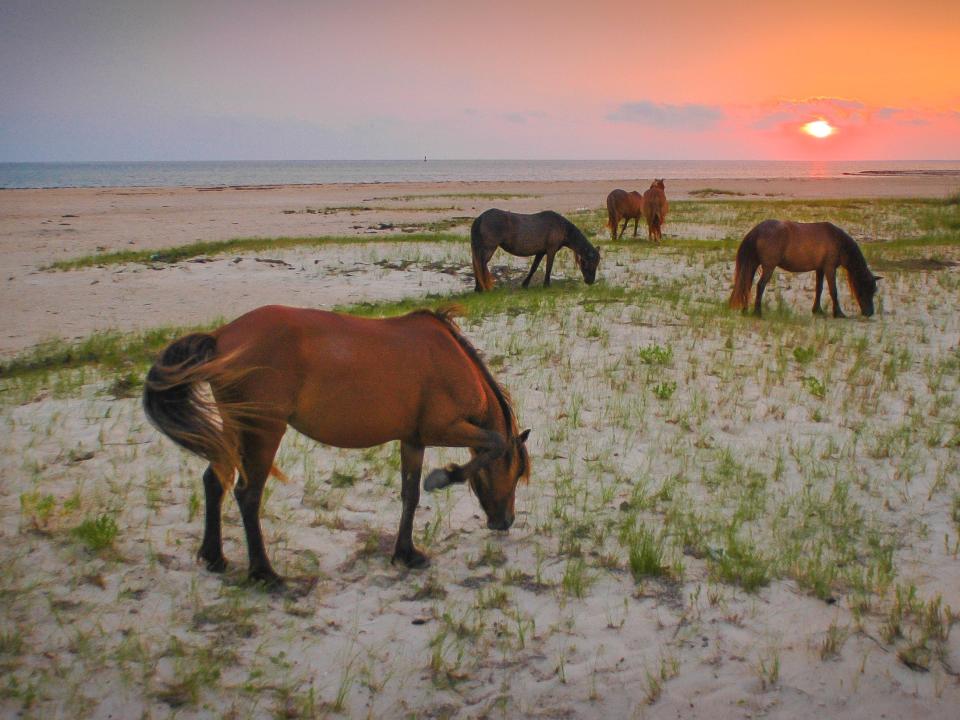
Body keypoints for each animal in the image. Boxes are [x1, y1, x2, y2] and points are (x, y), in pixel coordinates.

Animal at [472, 207, 600, 292]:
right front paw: (546, 285)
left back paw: (478, 288)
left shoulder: (540, 252)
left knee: (477, 264)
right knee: (482, 264)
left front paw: (525, 284)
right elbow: (549, 267)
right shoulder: (551, 250)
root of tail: (480, 218)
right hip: (489, 248)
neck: (561, 227)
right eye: (589, 263)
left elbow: (533, 268)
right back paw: (485, 288)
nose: (590, 281)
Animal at [732, 219, 880, 318]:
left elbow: (819, 289)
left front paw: (817, 310)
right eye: (864, 289)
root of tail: (757, 230)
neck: (837, 240)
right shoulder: (830, 268)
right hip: (768, 267)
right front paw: (838, 313)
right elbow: (833, 291)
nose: (870, 313)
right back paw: (757, 312)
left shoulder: (820, 269)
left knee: (746, 285)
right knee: (760, 285)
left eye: (873, 291)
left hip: (752, 265)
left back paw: (745, 310)